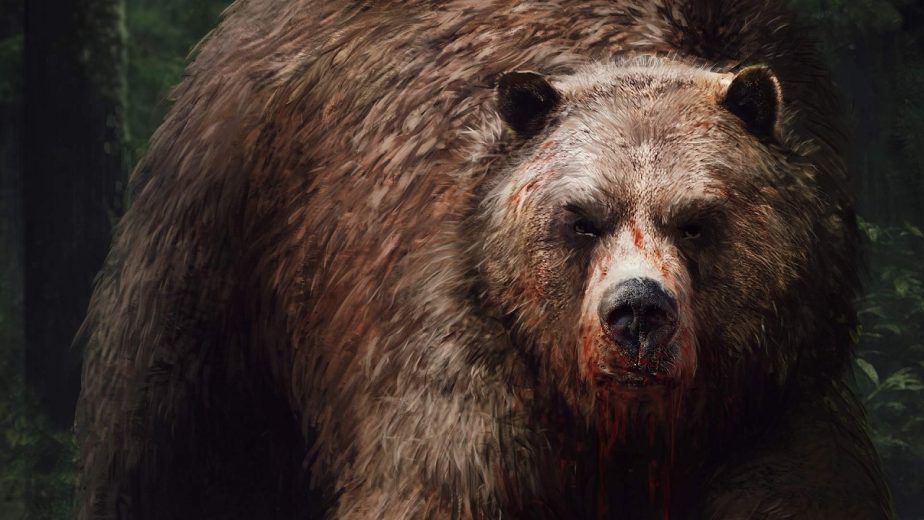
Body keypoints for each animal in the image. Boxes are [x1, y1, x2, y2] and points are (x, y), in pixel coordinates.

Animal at [75, 0, 893, 518]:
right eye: (582, 219)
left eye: (696, 220)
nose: (637, 314)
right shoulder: (466, 377)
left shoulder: (776, 393)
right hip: (220, 256)